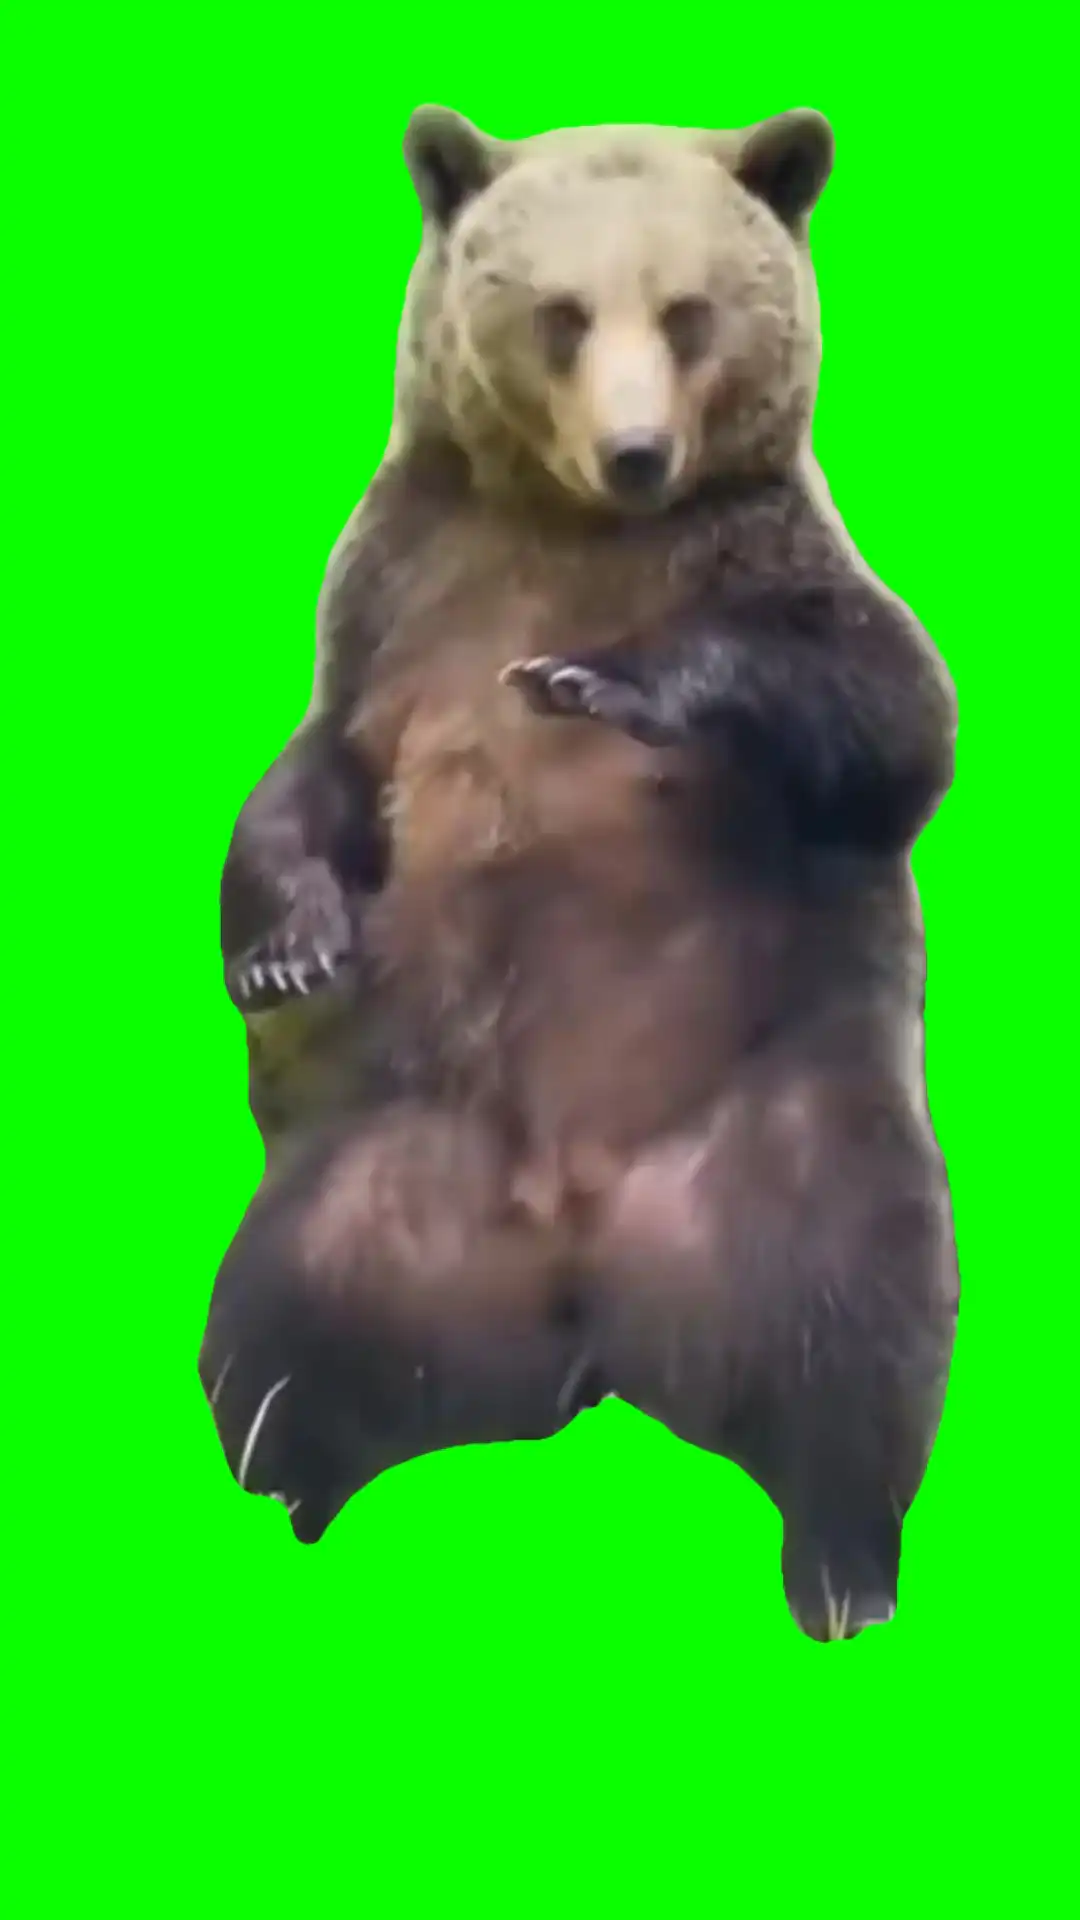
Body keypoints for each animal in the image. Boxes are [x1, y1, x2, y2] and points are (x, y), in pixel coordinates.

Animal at [203, 105, 960, 1641]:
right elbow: (318, 774)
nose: (637, 454)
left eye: (687, 311)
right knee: (275, 1335)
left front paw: (604, 683)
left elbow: (892, 710)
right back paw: (292, 1493)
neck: (569, 531)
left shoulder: (767, 555)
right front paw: (288, 942)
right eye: (558, 312)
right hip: (375, 1170)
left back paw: (843, 1566)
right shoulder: (404, 600)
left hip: (786, 1130)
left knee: (858, 1318)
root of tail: (589, 1295)